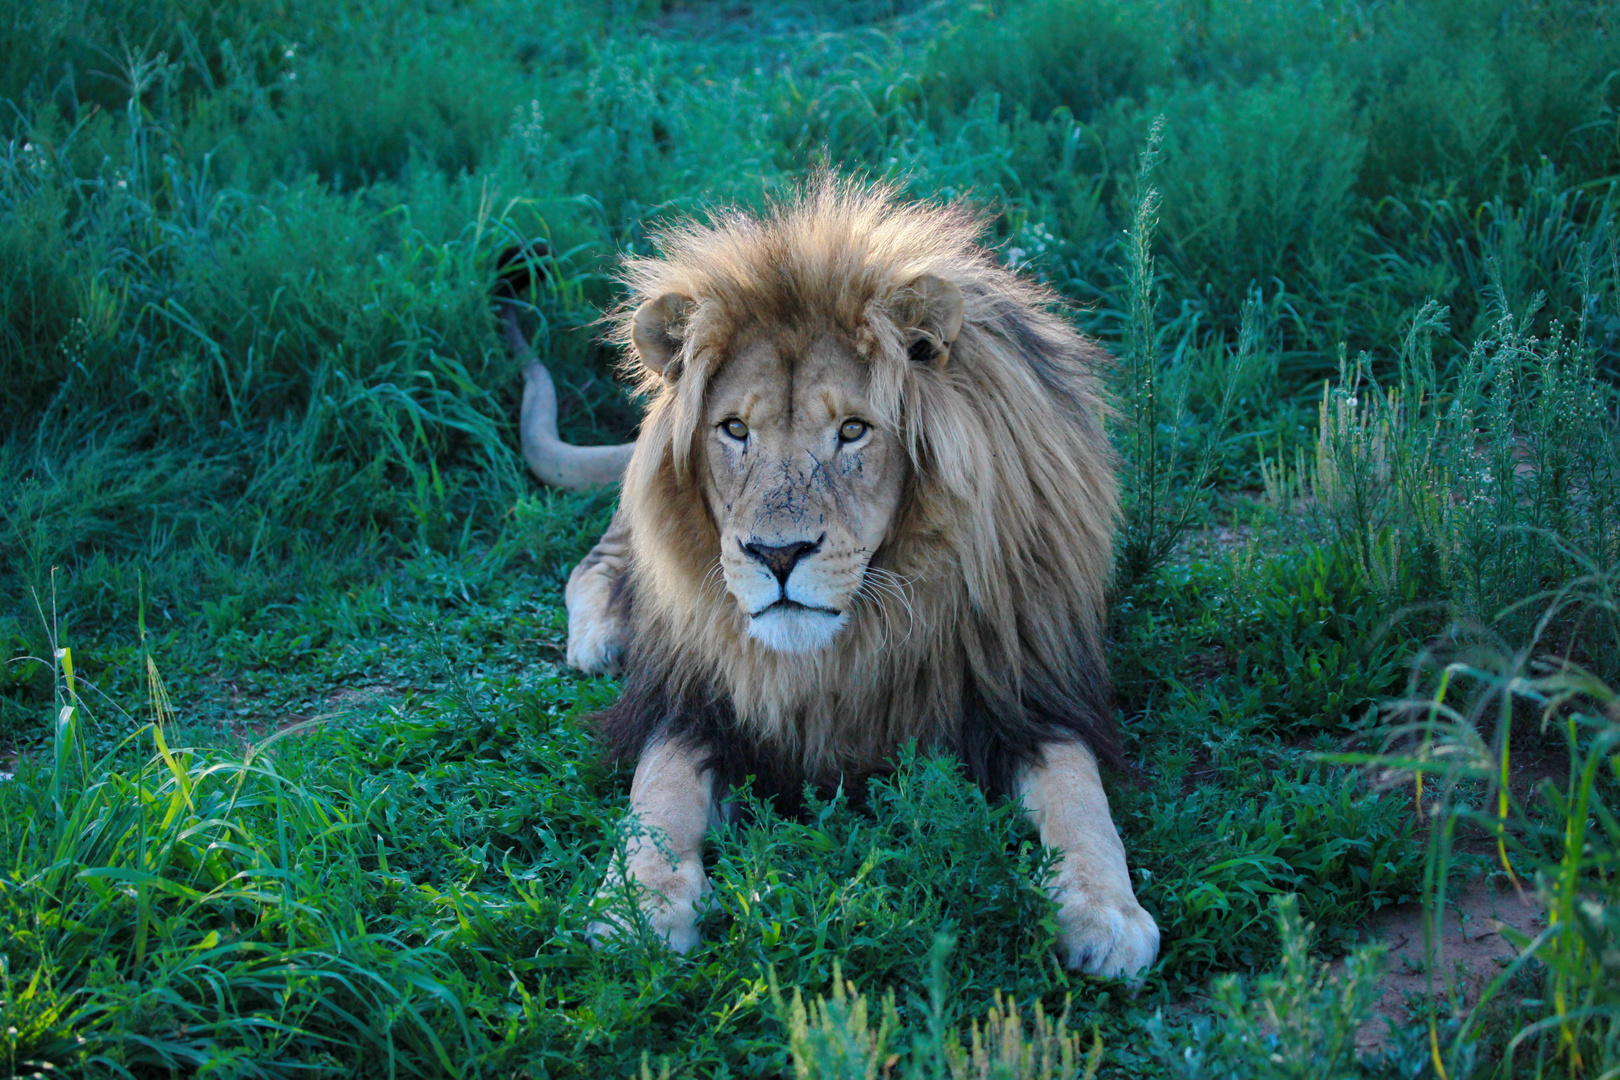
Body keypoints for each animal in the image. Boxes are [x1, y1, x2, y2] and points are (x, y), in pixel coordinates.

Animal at [498, 179, 1159, 977]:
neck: (851, 643)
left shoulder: (1031, 689)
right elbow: (658, 793)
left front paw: (1107, 912)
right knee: (598, 557)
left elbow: (1079, 796)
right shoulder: (689, 702)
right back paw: (603, 638)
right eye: (734, 430)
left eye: (852, 431)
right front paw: (637, 905)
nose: (776, 555)